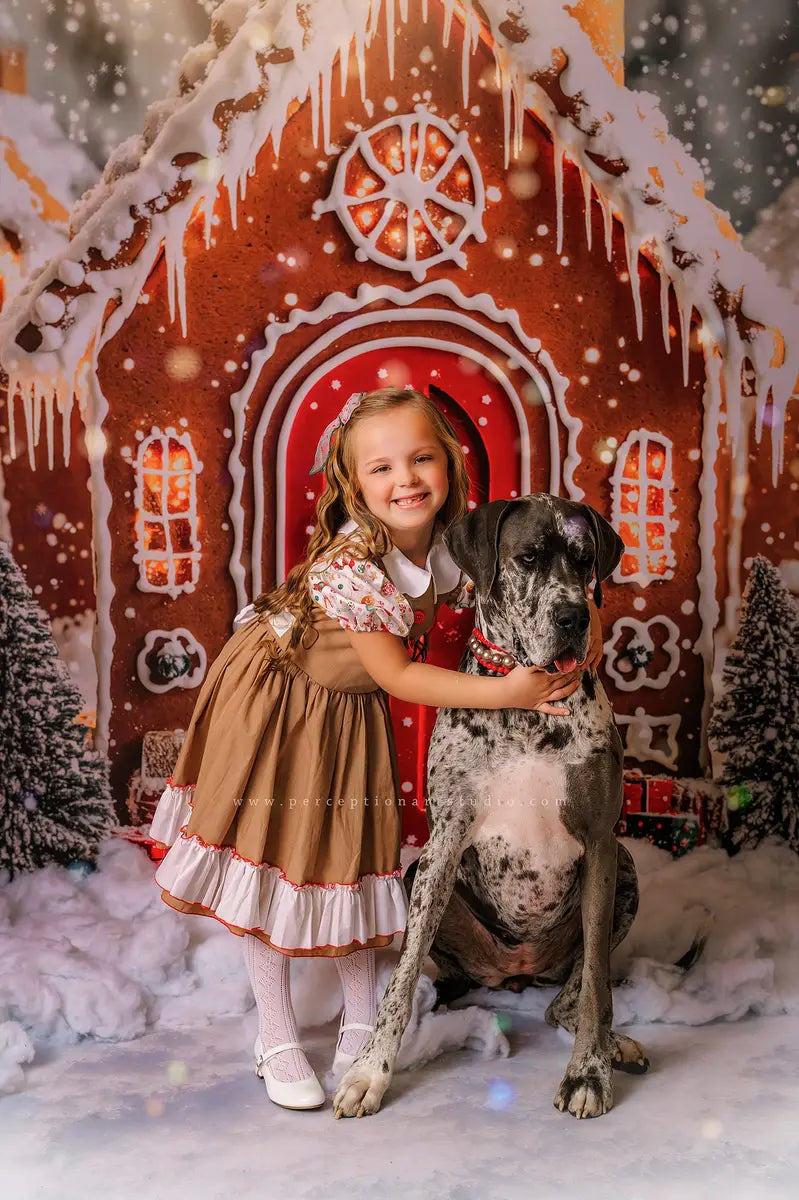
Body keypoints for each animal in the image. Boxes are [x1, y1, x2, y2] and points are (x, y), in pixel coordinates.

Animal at [331, 492, 647, 1118]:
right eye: (527, 557)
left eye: (584, 560)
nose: (575, 618)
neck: (528, 708)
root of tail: (515, 973)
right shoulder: (444, 843)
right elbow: (401, 978)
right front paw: (369, 1072)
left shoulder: (602, 846)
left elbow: (597, 983)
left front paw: (589, 1072)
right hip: (416, 876)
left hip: (624, 869)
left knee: (570, 996)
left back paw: (613, 1043)